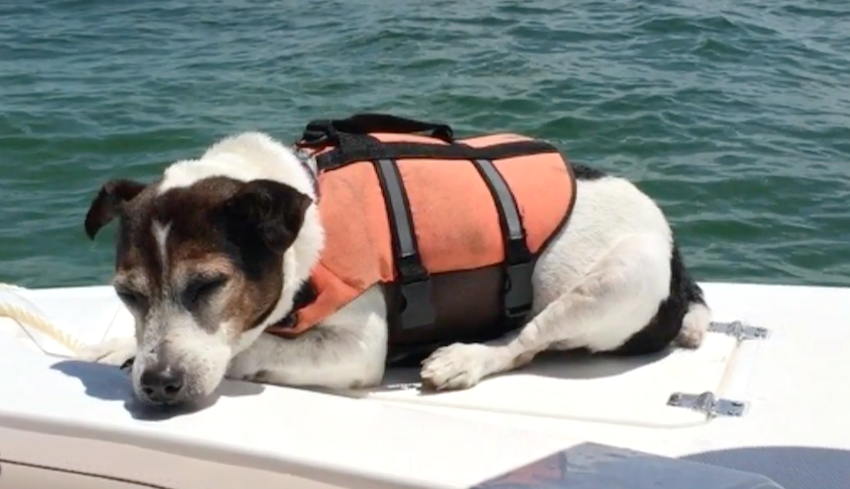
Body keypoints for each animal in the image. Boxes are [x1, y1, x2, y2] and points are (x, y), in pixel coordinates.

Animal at [79, 127, 704, 406]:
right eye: (128, 295)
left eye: (210, 284)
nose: (157, 385)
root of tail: (679, 265)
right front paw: (117, 348)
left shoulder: (356, 349)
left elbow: (251, 348)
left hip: (617, 281)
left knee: (526, 341)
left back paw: (464, 359)